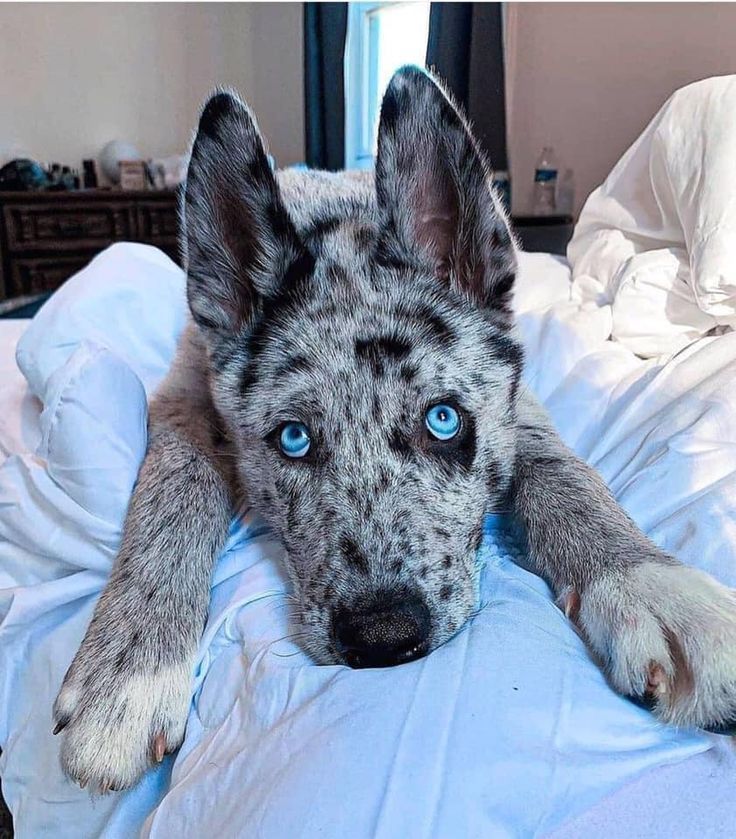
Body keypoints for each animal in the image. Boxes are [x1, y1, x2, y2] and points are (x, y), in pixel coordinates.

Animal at [51, 67, 736, 796]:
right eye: (293, 439)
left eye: (443, 420)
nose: (383, 637)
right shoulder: (183, 396)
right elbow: (174, 486)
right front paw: (129, 667)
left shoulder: (518, 403)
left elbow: (563, 472)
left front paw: (651, 586)